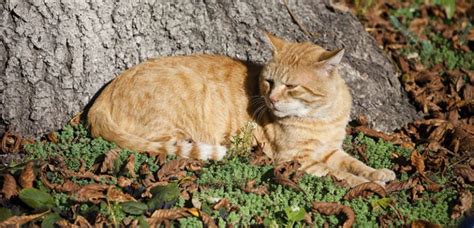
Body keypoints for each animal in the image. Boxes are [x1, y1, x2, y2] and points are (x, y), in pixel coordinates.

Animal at [88, 32, 396, 185]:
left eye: (291, 86)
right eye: (269, 81)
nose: (271, 100)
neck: (321, 117)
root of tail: (102, 96)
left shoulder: (332, 150)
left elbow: (354, 164)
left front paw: (378, 174)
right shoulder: (297, 159)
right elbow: (338, 174)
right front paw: (367, 185)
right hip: (174, 126)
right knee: (167, 148)